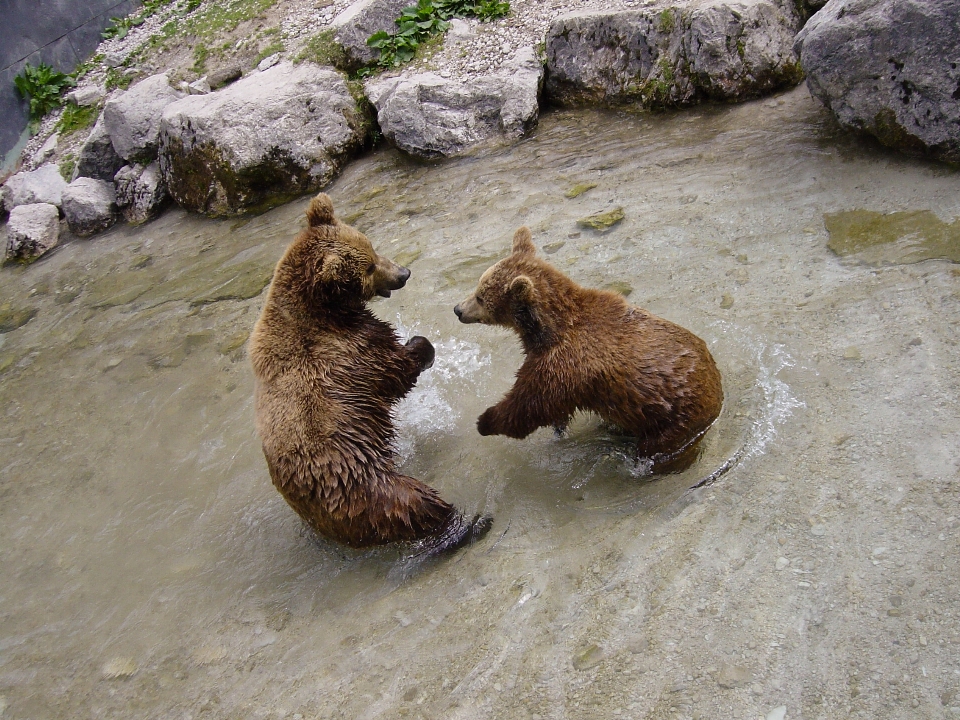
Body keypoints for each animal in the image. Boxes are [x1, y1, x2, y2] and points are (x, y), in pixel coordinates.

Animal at [249, 193, 488, 552]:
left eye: (372, 247)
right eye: (370, 266)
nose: (404, 273)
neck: (326, 313)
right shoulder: (345, 354)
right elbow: (391, 372)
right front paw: (419, 346)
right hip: (359, 481)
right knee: (410, 503)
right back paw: (465, 525)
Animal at [454, 226, 724, 472]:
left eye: (480, 296)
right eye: (478, 286)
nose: (458, 309)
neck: (549, 329)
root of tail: (718, 392)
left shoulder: (564, 363)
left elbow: (529, 405)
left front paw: (486, 420)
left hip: (674, 421)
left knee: (660, 448)